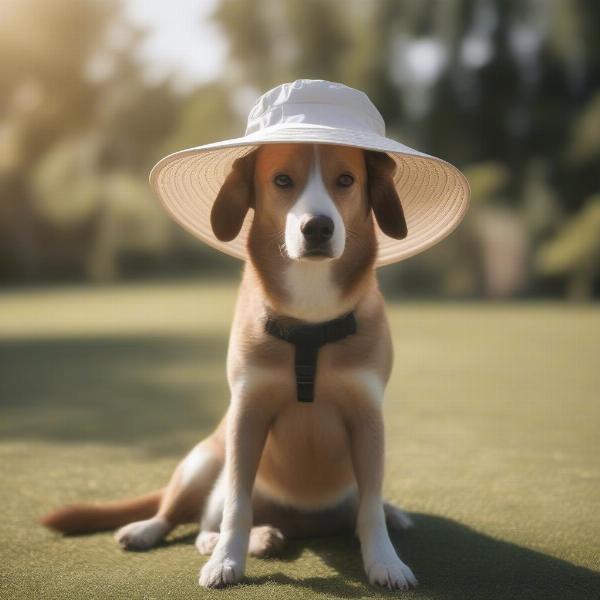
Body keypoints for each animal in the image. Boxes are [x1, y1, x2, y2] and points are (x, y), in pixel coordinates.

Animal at [41, 142, 418, 592]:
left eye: (346, 180)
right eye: (282, 180)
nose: (318, 227)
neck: (310, 316)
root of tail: (302, 524)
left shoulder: (367, 419)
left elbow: (370, 509)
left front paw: (385, 561)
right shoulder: (246, 415)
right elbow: (237, 505)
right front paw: (226, 561)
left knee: (357, 509)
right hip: (203, 461)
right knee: (189, 517)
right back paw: (169, 533)